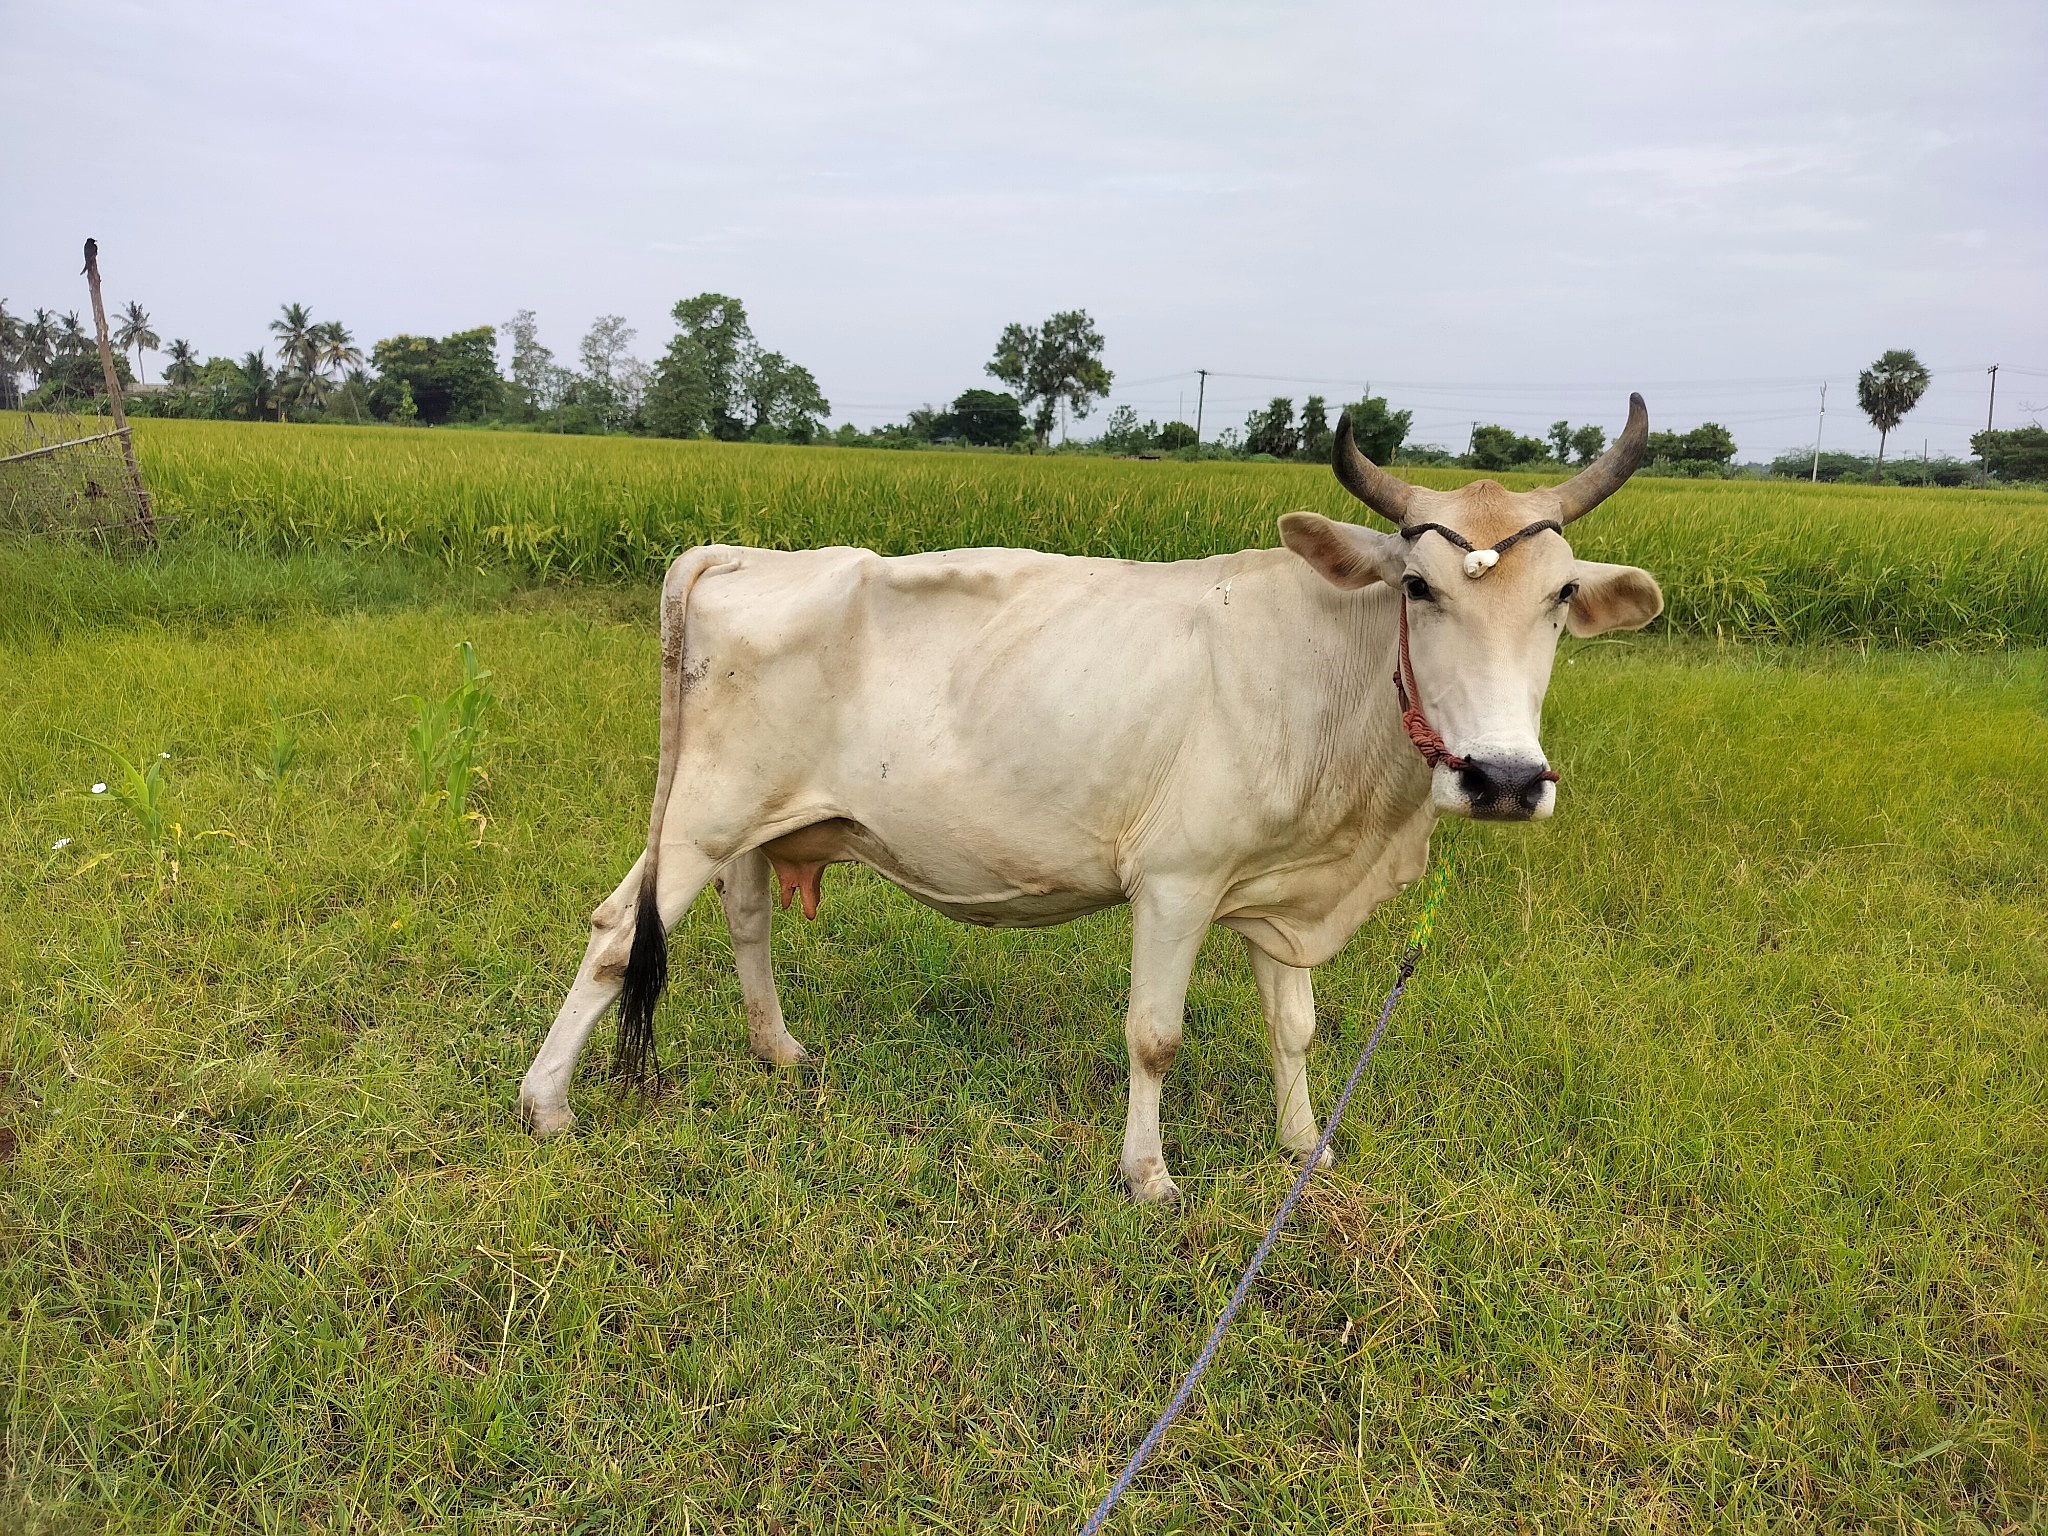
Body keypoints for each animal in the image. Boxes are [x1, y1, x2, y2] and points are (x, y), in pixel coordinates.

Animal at [519, 396, 1663, 1202]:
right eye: (1419, 586)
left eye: (1559, 595)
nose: (1504, 778)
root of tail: (741, 553)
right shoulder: (1176, 879)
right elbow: (1154, 1035)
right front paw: (1147, 1176)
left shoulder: (1282, 886)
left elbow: (1293, 1029)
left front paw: (1304, 1146)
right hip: (703, 811)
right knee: (618, 934)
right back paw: (546, 1104)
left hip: (760, 821)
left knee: (742, 918)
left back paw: (780, 1052)